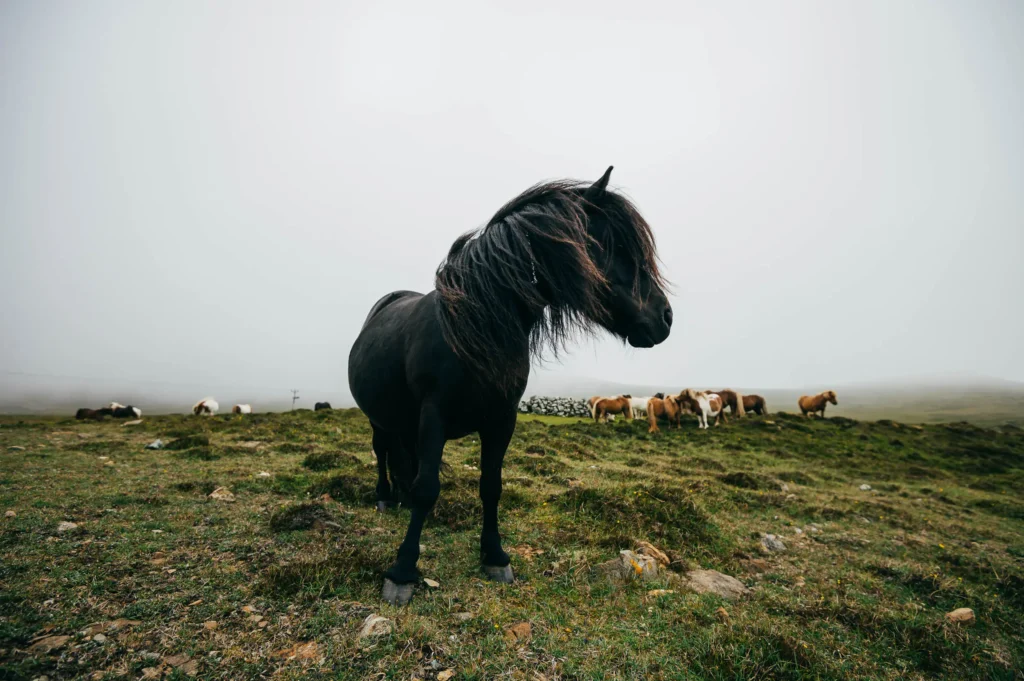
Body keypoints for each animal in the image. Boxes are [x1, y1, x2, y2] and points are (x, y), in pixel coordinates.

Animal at [348, 167, 671, 605]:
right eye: (616, 245)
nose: (665, 317)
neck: (474, 327)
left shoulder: (502, 419)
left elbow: (491, 486)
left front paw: (495, 556)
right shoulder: (434, 416)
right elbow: (428, 487)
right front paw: (402, 571)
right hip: (380, 420)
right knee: (383, 452)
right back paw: (384, 496)